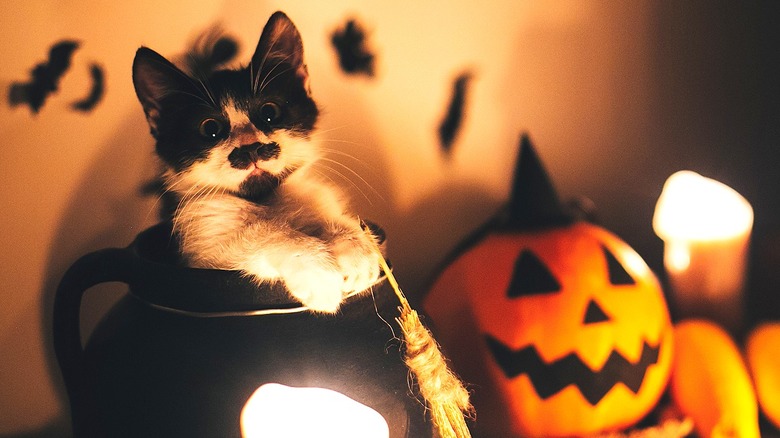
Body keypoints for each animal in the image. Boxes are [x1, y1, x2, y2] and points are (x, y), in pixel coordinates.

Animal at [135, 10, 384, 312]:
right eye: (210, 128)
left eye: (269, 112)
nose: (250, 148)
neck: (267, 200)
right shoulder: (201, 252)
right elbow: (260, 234)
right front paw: (317, 269)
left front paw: (355, 247)